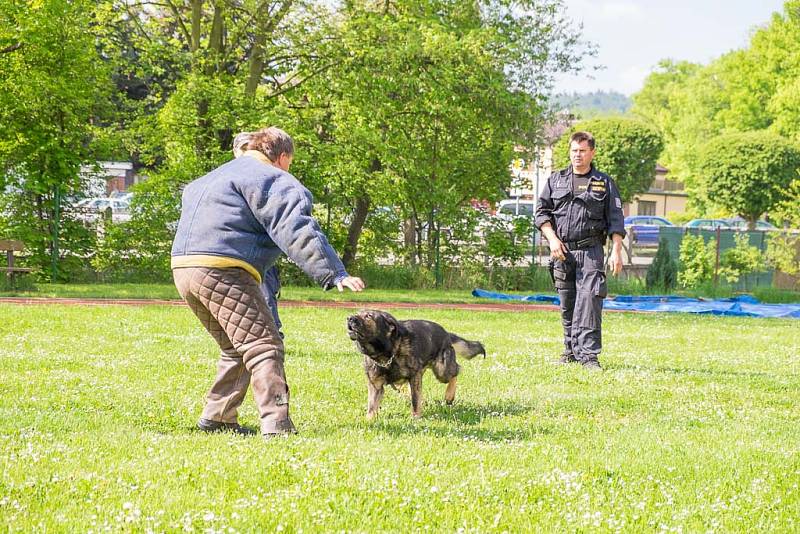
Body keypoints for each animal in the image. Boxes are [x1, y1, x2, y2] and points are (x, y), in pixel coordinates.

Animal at [346, 310, 484, 422]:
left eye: (369, 316)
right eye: (358, 313)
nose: (349, 318)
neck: (387, 354)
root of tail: (446, 333)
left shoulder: (414, 377)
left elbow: (415, 400)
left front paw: (416, 418)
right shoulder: (375, 385)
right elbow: (372, 406)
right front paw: (369, 421)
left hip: (442, 370)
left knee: (456, 372)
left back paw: (449, 395)